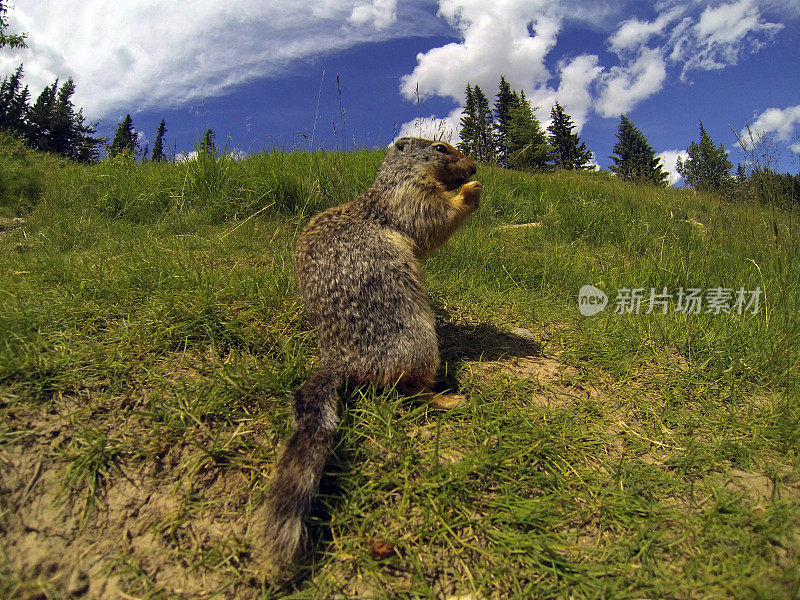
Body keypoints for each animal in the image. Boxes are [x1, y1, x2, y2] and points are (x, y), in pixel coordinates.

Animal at [256, 135, 482, 572]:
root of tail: (340, 360)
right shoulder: (409, 197)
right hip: (418, 341)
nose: (476, 167)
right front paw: (470, 191)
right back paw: (447, 398)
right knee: (409, 390)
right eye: (441, 148)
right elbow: (432, 218)